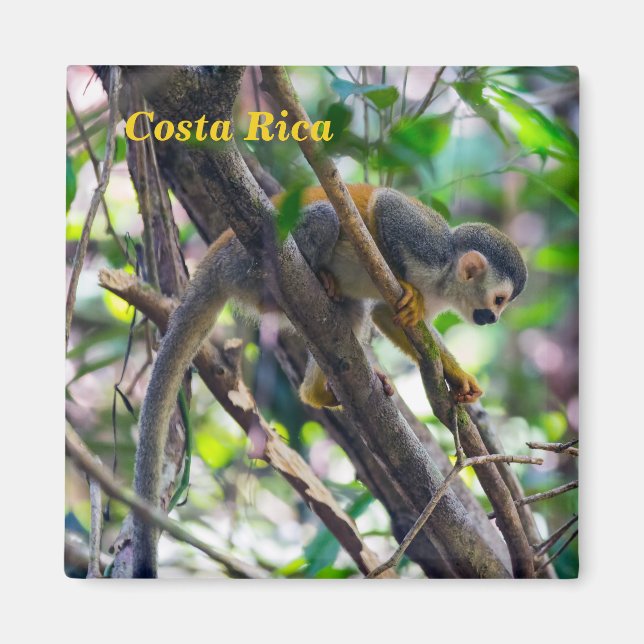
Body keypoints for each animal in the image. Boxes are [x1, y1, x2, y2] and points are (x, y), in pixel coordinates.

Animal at [131, 183, 528, 577]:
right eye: (499, 299)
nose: (493, 318)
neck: (444, 280)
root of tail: (214, 257)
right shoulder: (427, 244)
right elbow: (385, 208)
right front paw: (400, 279)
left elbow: (388, 316)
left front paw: (457, 378)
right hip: (247, 261)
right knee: (325, 217)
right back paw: (314, 276)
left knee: (346, 313)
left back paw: (317, 392)